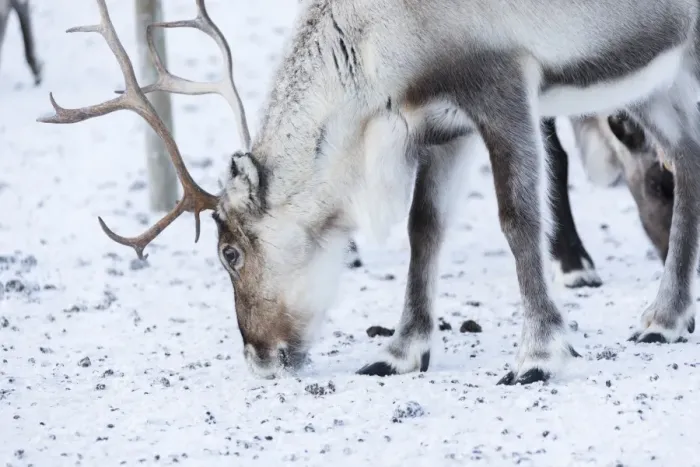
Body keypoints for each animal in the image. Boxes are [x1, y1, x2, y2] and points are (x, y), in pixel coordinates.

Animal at [38, 0, 700, 386]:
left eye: (229, 253)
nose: (257, 356)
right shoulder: (444, 124)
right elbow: (423, 229)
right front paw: (402, 352)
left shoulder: (503, 84)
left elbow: (518, 218)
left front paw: (539, 353)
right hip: (659, 77)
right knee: (688, 155)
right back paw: (666, 318)